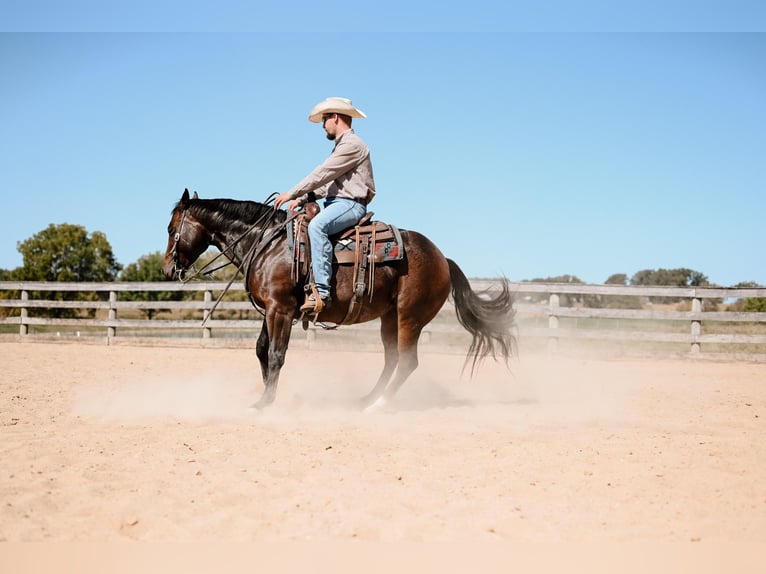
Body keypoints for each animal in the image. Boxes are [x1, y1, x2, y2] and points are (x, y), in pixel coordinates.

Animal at [164, 189, 520, 410]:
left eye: (170, 228)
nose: (167, 268)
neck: (267, 243)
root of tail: (442, 258)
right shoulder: (269, 310)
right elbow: (262, 351)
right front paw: (269, 394)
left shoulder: (281, 310)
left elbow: (277, 355)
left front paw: (266, 402)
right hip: (389, 318)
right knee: (391, 359)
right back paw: (367, 399)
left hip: (410, 317)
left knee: (407, 362)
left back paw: (379, 406)